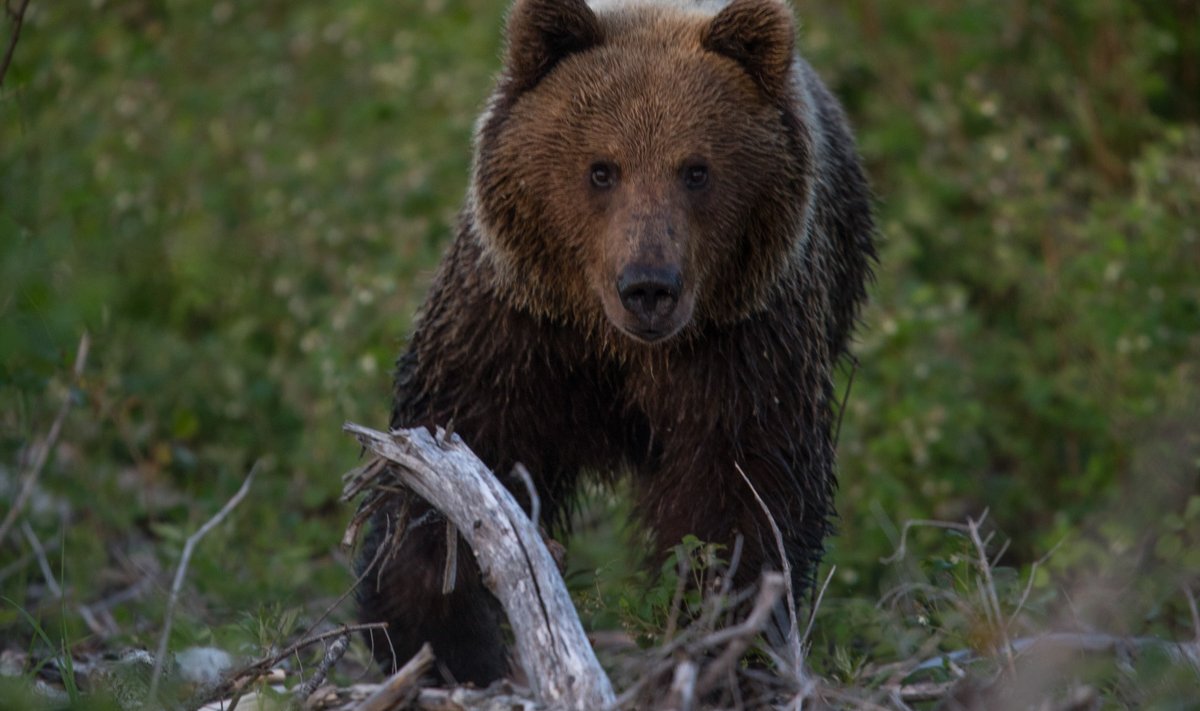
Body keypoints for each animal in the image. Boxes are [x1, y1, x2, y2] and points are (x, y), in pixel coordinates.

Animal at [352, 0, 873, 686]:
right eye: (602, 169)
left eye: (696, 170)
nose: (648, 286)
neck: (615, 346)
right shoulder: (517, 330)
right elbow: (451, 460)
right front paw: (443, 639)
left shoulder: (742, 347)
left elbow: (743, 496)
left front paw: (715, 640)